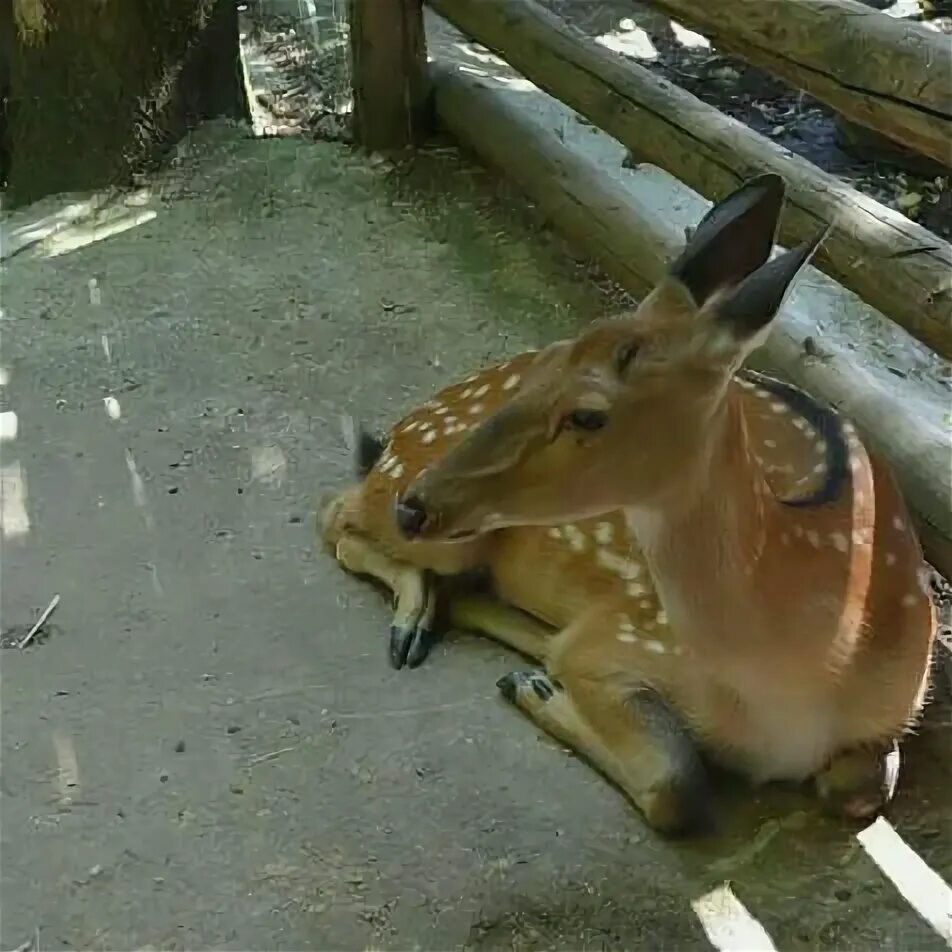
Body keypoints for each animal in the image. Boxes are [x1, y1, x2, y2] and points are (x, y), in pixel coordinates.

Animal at [322, 175, 936, 836]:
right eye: (548, 361)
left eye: (589, 414)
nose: (417, 505)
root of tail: (396, 438)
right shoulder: (622, 634)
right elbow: (678, 783)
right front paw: (537, 688)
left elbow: (863, 786)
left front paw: (536, 682)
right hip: (435, 515)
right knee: (334, 513)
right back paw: (421, 621)